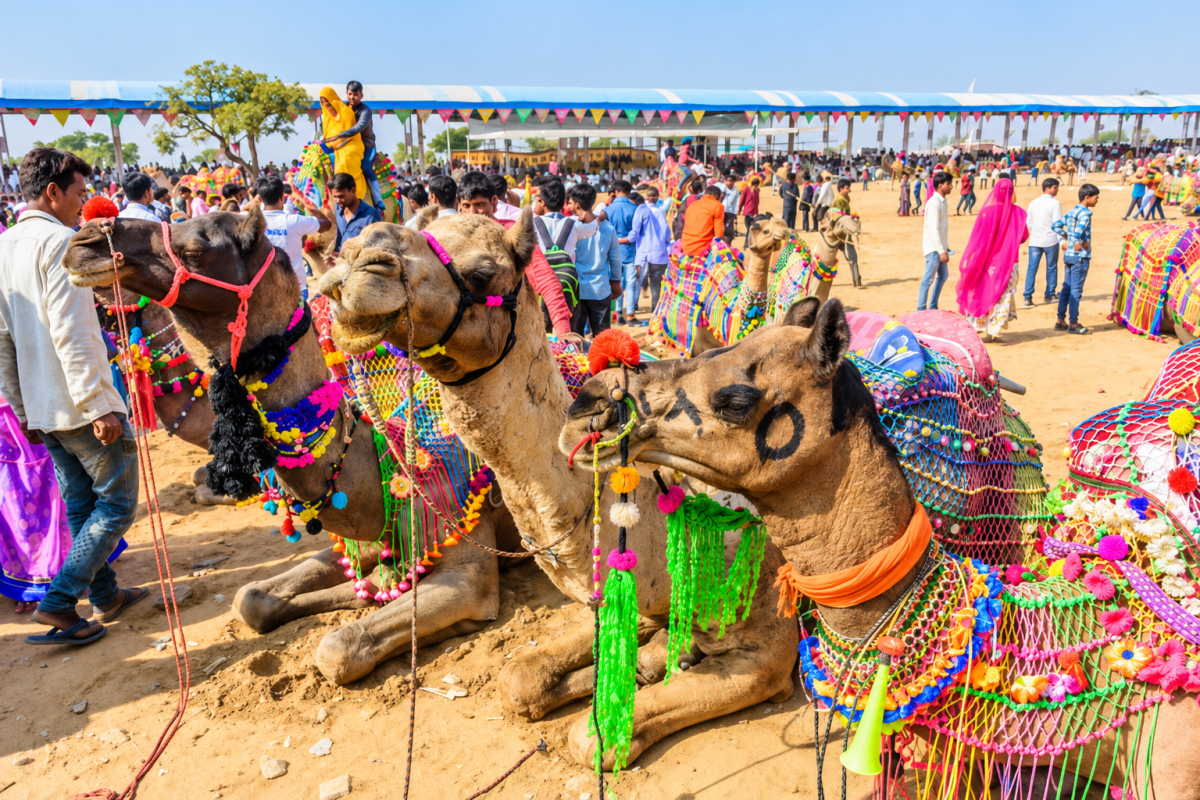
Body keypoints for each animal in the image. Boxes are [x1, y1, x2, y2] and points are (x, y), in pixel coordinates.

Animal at [62, 208, 514, 686]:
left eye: (195, 250)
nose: (87, 239)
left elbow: (338, 646)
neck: (383, 458)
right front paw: (367, 586)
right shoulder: (364, 537)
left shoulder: (467, 566)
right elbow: (250, 597)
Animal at [317, 208, 799, 770]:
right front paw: (641, 663)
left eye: (482, 273)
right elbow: (519, 679)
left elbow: (590, 739)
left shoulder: (770, 651)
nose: (359, 257)